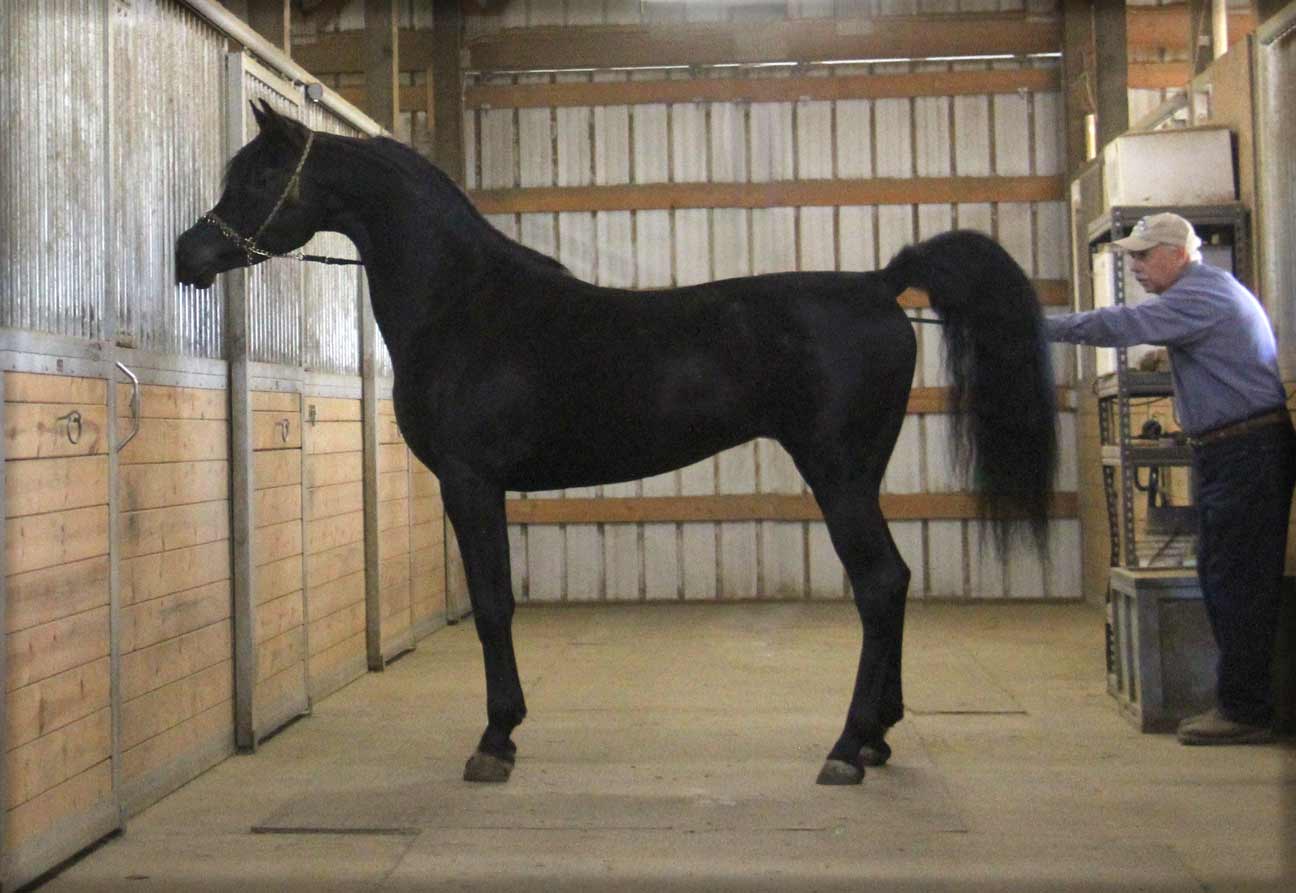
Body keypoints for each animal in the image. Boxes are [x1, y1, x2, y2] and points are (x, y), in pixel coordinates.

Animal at [176, 99, 1057, 787]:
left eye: (260, 178)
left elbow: (493, 603)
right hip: (859, 476)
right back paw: (875, 737)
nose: (189, 254)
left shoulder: (470, 481)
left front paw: (496, 738)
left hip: (837, 475)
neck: (463, 305)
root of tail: (880, 284)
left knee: (877, 584)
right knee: (895, 582)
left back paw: (845, 747)